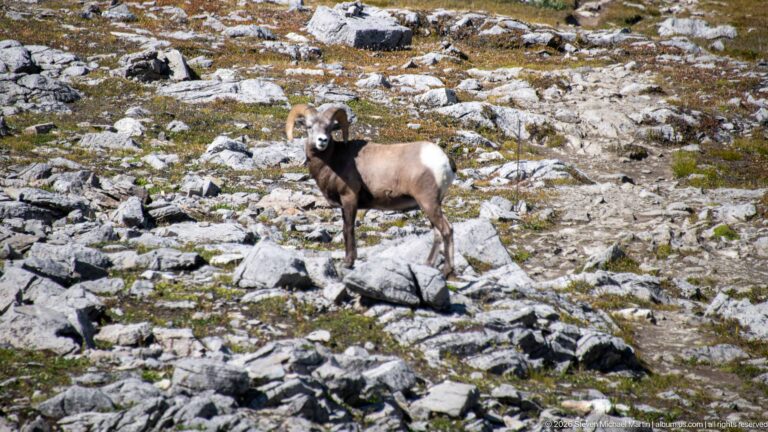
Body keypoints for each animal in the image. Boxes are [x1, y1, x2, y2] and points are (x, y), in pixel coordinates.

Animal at [286, 104, 457, 276]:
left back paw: (446, 271)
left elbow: (348, 229)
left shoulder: (349, 199)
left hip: (428, 202)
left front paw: (348, 262)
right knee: (438, 233)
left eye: (329, 128)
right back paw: (428, 265)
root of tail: (445, 161)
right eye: (309, 127)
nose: (322, 140)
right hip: (430, 206)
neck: (332, 161)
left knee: (446, 230)